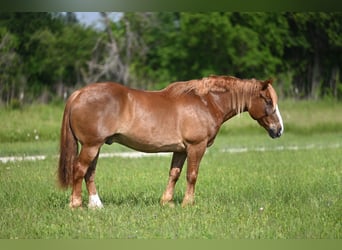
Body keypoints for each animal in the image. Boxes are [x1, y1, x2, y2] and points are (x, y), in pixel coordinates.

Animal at [58, 75, 284, 208]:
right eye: (268, 101)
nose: (279, 130)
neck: (206, 102)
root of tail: (79, 93)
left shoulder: (181, 150)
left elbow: (174, 174)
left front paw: (166, 202)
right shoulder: (196, 147)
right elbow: (192, 175)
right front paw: (188, 203)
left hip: (96, 146)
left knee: (89, 173)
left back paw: (96, 205)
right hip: (91, 145)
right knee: (79, 169)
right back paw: (76, 204)